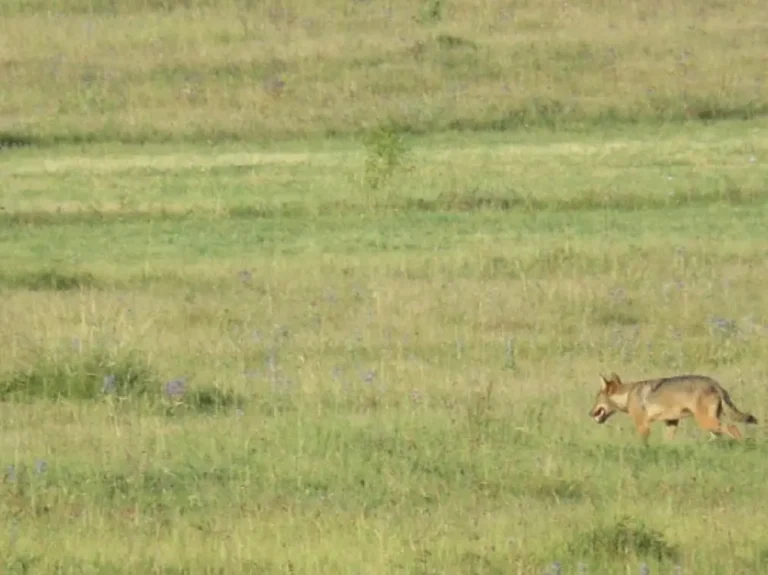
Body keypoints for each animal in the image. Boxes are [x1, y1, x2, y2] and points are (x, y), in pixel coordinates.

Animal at [588, 372, 756, 444]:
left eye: (596, 398)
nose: (589, 413)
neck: (628, 394)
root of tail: (715, 383)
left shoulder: (643, 426)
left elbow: (643, 443)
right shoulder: (671, 422)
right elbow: (668, 442)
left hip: (706, 422)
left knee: (733, 428)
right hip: (711, 424)